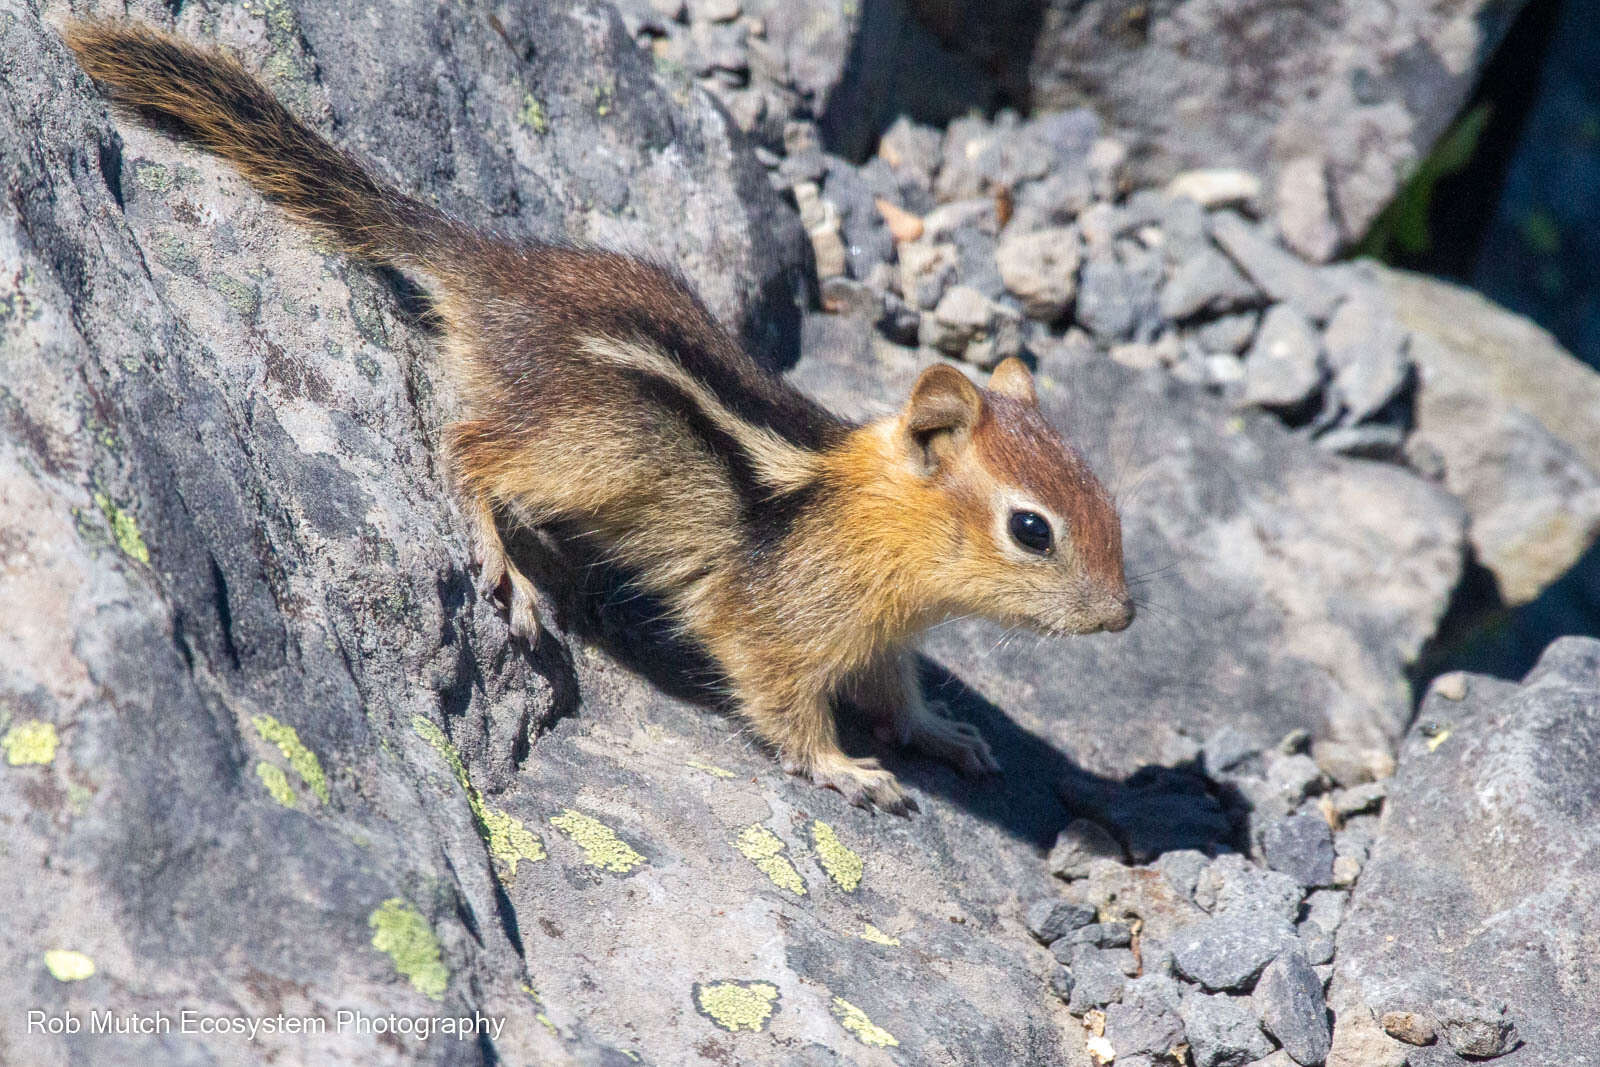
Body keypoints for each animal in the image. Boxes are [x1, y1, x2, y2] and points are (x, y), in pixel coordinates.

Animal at [65, 20, 1139, 812]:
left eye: (1107, 501)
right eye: (1031, 529)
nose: (1123, 615)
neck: (874, 519)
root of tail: (496, 275)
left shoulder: (879, 640)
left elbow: (898, 694)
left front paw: (943, 735)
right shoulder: (781, 624)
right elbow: (782, 700)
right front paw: (847, 770)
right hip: (587, 453)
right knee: (469, 448)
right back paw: (503, 562)